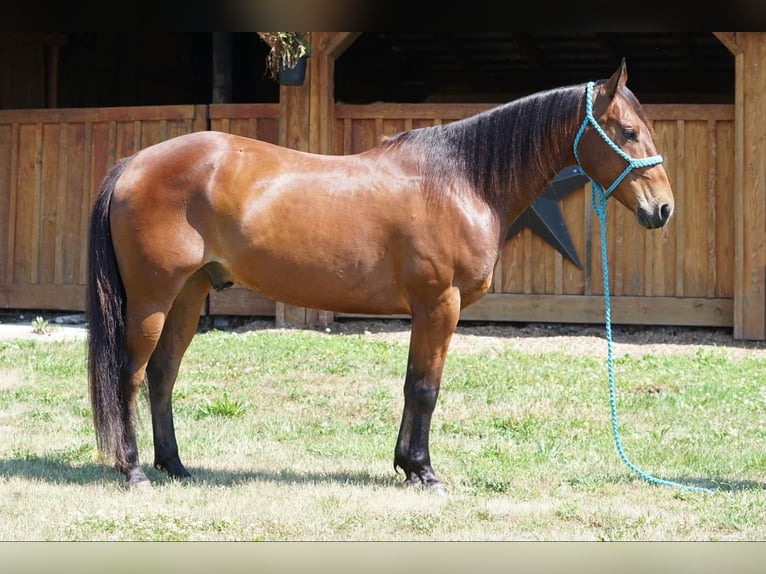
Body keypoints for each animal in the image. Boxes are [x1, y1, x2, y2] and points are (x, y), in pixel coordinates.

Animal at [86, 59, 673, 489]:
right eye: (627, 131)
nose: (662, 209)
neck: (461, 180)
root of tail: (134, 163)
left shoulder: (427, 309)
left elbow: (414, 384)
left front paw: (407, 465)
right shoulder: (439, 303)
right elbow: (425, 387)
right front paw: (424, 471)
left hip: (188, 295)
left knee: (163, 374)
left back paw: (175, 467)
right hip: (152, 299)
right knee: (129, 375)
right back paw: (133, 470)